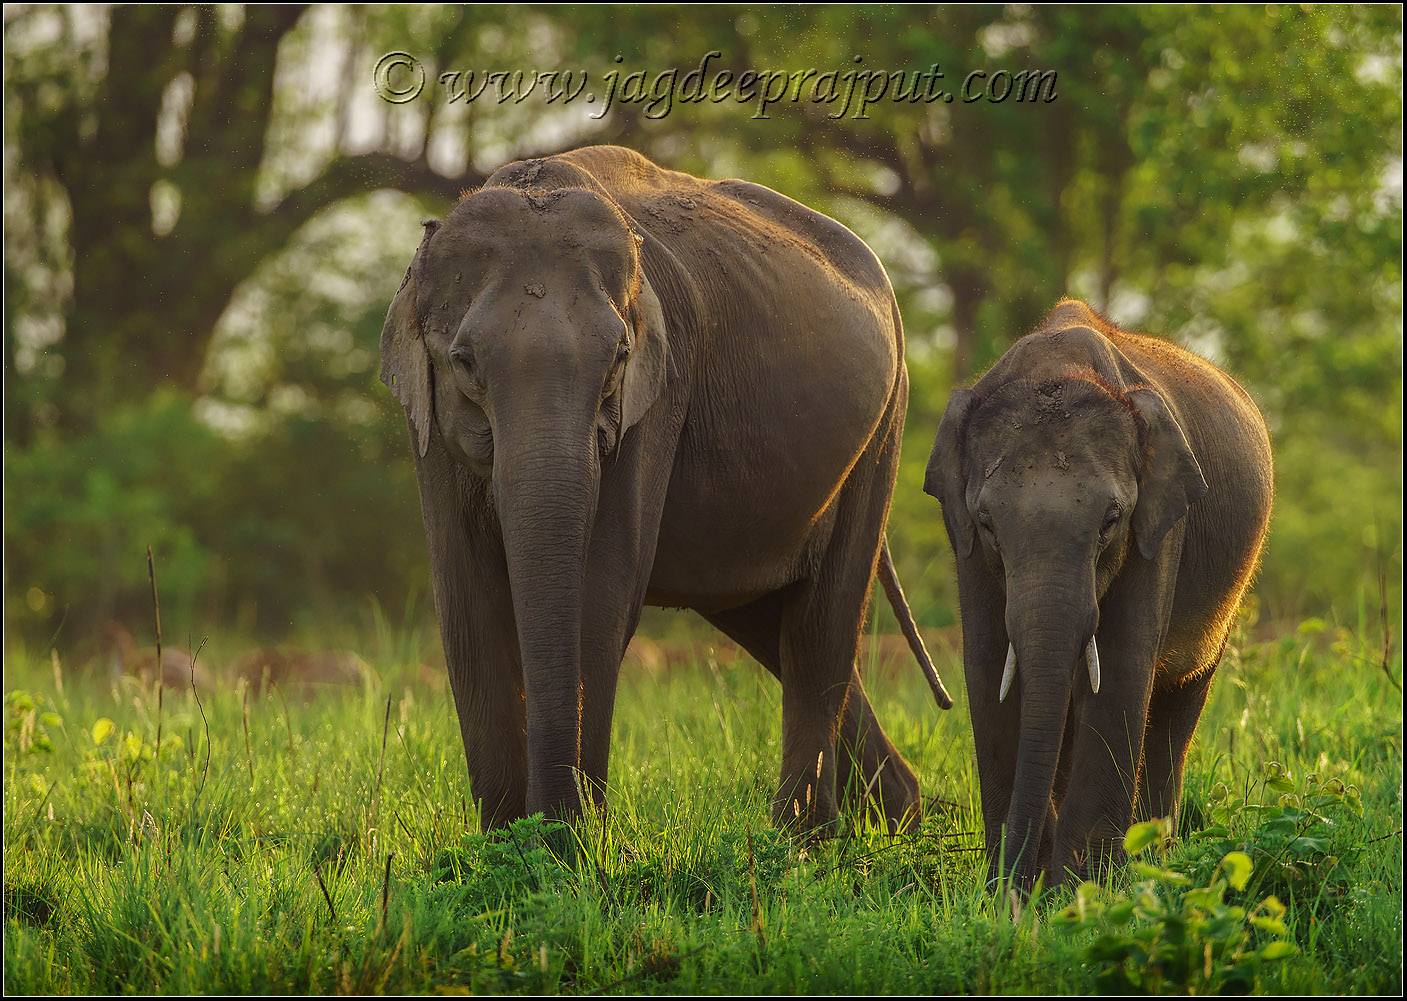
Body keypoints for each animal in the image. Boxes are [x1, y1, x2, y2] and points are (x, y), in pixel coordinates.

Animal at [380, 145, 952, 836]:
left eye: (619, 357)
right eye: (463, 361)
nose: (550, 823)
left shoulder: (656, 398)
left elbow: (600, 596)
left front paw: (569, 850)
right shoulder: (428, 427)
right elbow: (468, 606)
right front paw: (510, 849)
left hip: (882, 431)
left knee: (822, 624)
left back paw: (801, 842)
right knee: (771, 626)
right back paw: (892, 815)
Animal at [923, 298, 1273, 889]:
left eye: (1111, 520)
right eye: (987, 521)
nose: (1017, 890)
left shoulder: (1160, 525)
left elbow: (1122, 664)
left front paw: (1080, 887)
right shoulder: (962, 538)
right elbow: (989, 666)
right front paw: (1013, 886)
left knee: (1181, 698)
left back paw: (1157, 855)